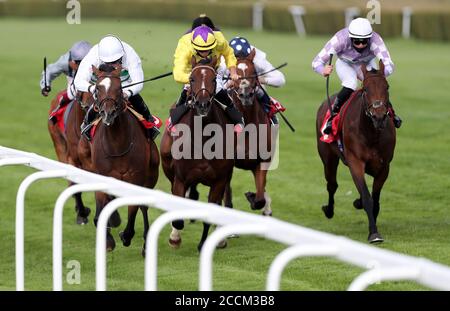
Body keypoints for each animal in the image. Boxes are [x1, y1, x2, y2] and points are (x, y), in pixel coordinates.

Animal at [87, 64, 159, 256]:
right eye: (98, 88)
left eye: (119, 88)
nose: (108, 113)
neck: (117, 144)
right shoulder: (102, 175)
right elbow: (103, 205)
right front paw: (109, 237)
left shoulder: (135, 177)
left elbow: (133, 207)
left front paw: (126, 235)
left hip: (150, 175)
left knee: (143, 206)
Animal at [160, 56, 234, 251]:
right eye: (192, 79)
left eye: (214, 79)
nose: (202, 105)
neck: (203, 138)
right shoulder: (180, 178)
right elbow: (178, 217)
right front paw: (175, 238)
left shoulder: (219, 180)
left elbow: (211, 211)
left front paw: (204, 243)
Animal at [229, 48, 274, 216]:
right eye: (233, 74)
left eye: (253, 71)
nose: (246, 94)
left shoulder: (261, 161)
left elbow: (260, 197)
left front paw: (253, 197)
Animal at [316, 60, 398, 244]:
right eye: (365, 89)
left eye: (387, 87)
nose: (379, 117)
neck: (371, 133)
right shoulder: (355, 163)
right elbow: (367, 197)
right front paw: (374, 233)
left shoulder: (384, 167)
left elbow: (375, 198)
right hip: (328, 158)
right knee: (332, 185)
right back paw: (328, 210)